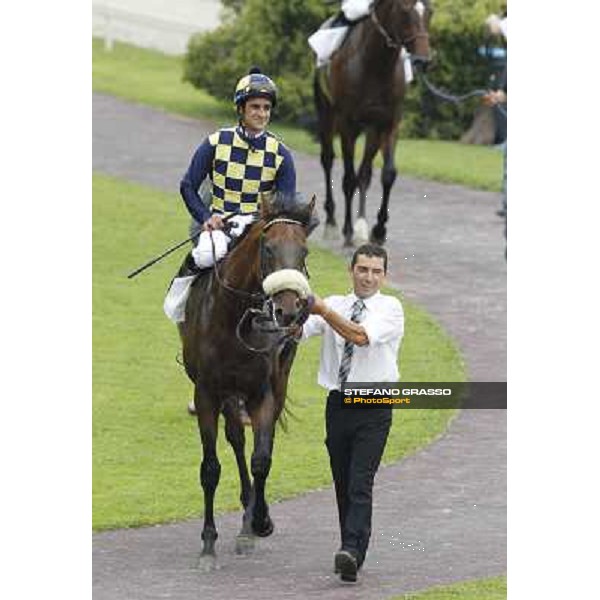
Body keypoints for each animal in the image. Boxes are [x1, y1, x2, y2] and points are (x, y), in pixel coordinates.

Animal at [178, 193, 316, 568]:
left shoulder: (261, 392)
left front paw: (260, 521)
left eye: (304, 251)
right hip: (228, 392)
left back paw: (248, 522)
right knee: (236, 438)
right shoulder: (208, 392)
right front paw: (208, 542)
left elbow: (261, 459)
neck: (232, 317)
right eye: (268, 248)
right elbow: (211, 467)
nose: (288, 310)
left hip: (277, 380)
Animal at [314, 0, 432, 246]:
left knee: (365, 172)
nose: (423, 60)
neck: (375, 64)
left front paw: (378, 230)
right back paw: (332, 222)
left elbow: (387, 174)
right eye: (405, 10)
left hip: (371, 131)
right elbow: (348, 178)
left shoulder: (389, 124)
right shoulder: (347, 124)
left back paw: (361, 224)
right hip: (326, 114)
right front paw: (348, 230)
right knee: (328, 160)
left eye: (430, 11)